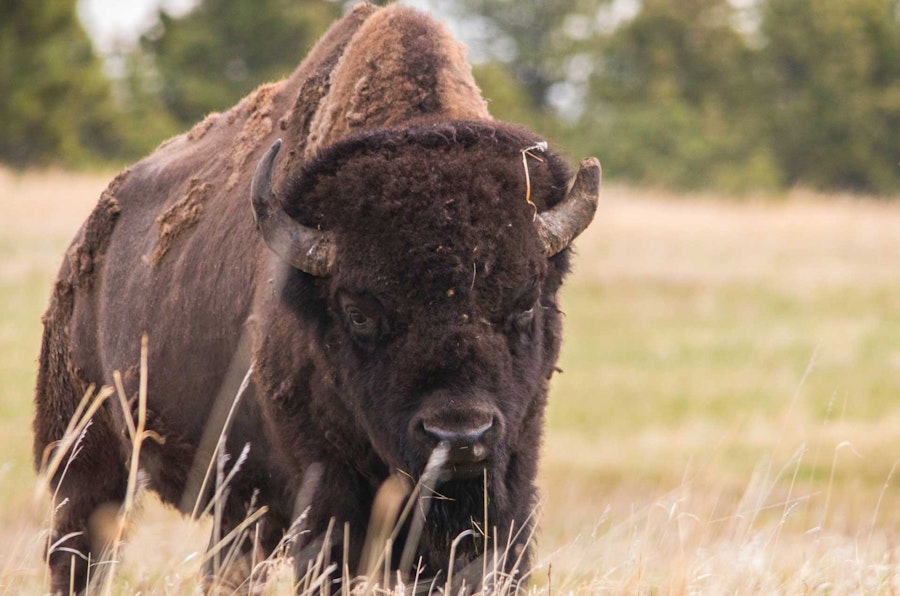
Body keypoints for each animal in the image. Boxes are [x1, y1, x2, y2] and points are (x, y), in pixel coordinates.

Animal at [33, 3, 600, 593]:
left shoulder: (509, 485)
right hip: (84, 462)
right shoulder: (326, 497)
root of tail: (87, 243)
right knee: (79, 550)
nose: (458, 433)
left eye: (526, 302)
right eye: (359, 313)